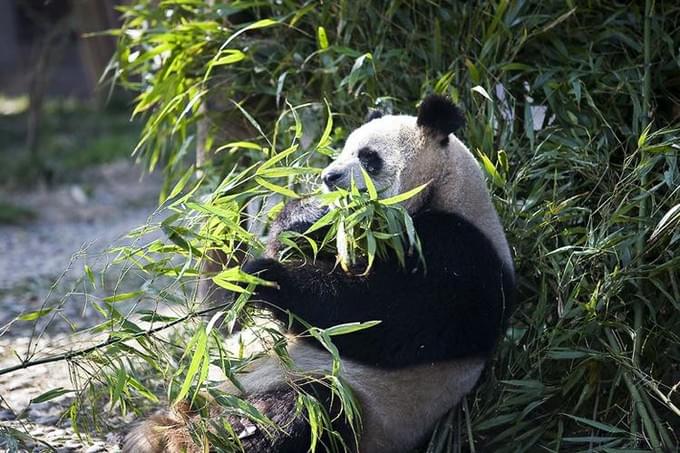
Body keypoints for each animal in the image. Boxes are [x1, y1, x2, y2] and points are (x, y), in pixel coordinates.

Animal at [123, 95, 516, 452]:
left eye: (368, 157)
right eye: (342, 150)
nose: (329, 176)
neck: (443, 189)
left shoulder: (460, 259)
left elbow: (371, 316)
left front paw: (261, 275)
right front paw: (302, 220)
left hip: (348, 403)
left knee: (305, 412)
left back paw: (221, 437)